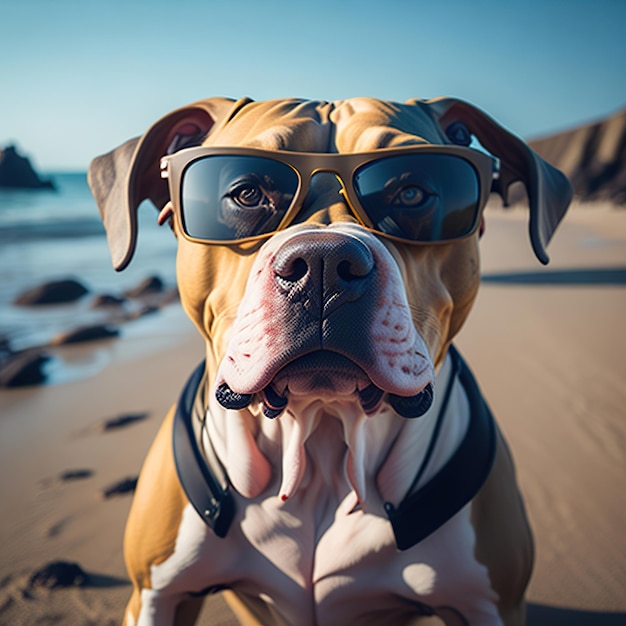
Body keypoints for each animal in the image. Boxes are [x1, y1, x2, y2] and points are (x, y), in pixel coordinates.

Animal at [88, 94, 572, 624]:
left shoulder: (492, 604)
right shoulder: (155, 596)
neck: (319, 440)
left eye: (411, 193)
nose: (323, 262)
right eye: (247, 194)